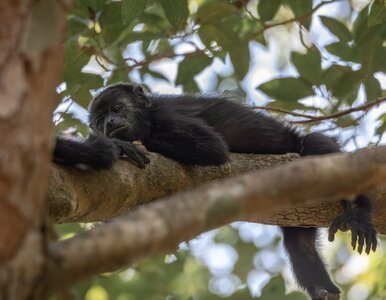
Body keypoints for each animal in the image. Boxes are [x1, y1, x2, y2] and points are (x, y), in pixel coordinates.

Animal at [88, 83, 376, 298]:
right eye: (100, 120)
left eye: (116, 108)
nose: (110, 124)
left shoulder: (166, 117)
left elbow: (212, 147)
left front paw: (117, 144)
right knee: (299, 243)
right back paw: (324, 290)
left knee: (314, 144)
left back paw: (358, 213)